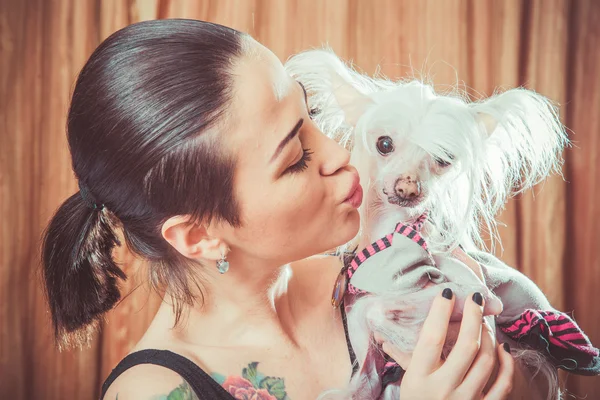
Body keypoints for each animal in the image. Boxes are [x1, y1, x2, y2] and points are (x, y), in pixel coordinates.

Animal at [286, 50, 600, 400]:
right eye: (384, 144)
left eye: (444, 158)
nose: (408, 187)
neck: (393, 242)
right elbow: (367, 357)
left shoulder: (476, 295)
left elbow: (379, 310)